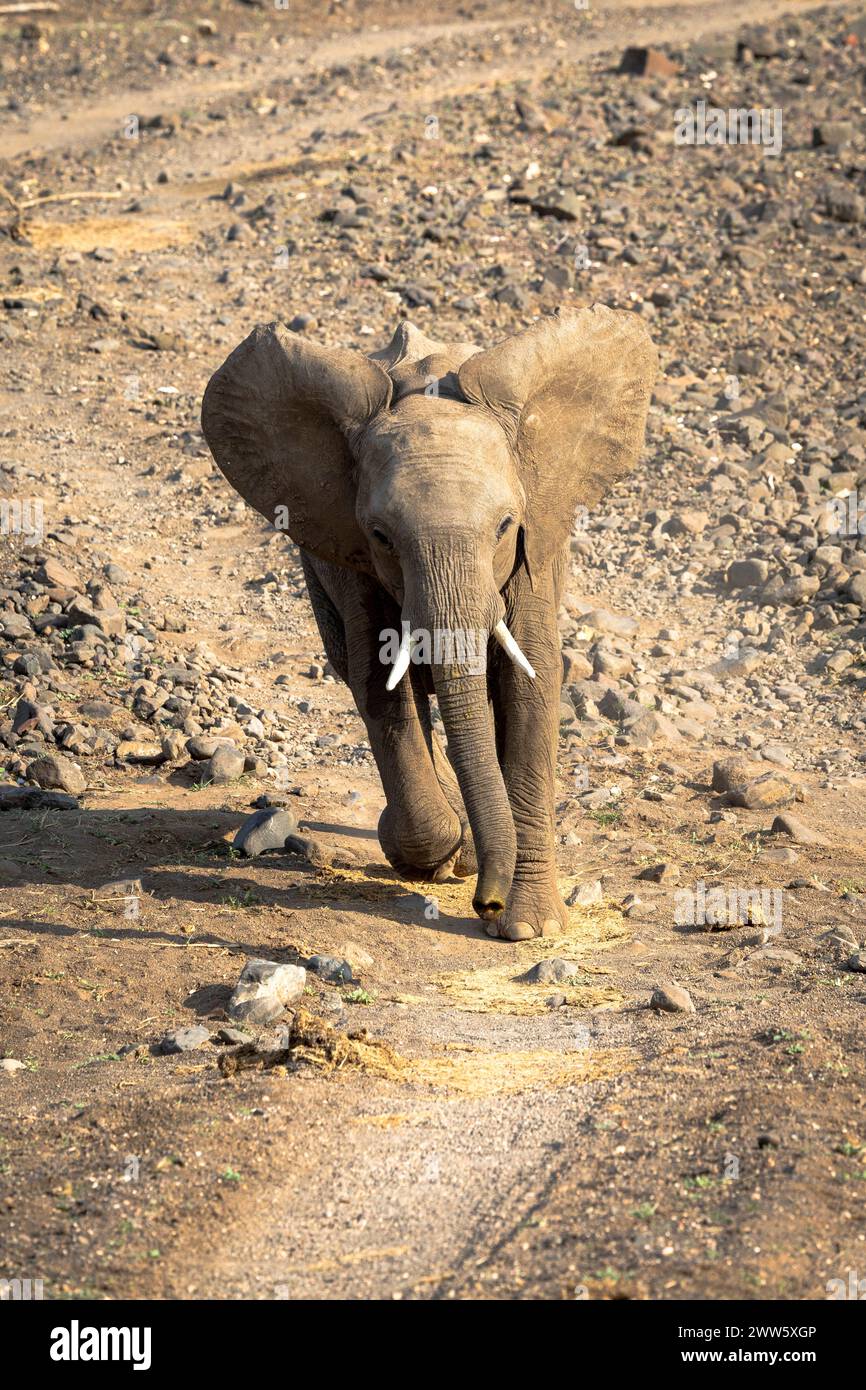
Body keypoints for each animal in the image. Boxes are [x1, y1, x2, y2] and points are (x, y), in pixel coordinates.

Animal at [201, 304, 657, 940]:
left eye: (504, 526)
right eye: (382, 536)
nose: (487, 904)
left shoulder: (537, 543)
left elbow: (531, 680)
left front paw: (528, 928)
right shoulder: (348, 550)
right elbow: (379, 677)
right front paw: (444, 855)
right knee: (370, 673)